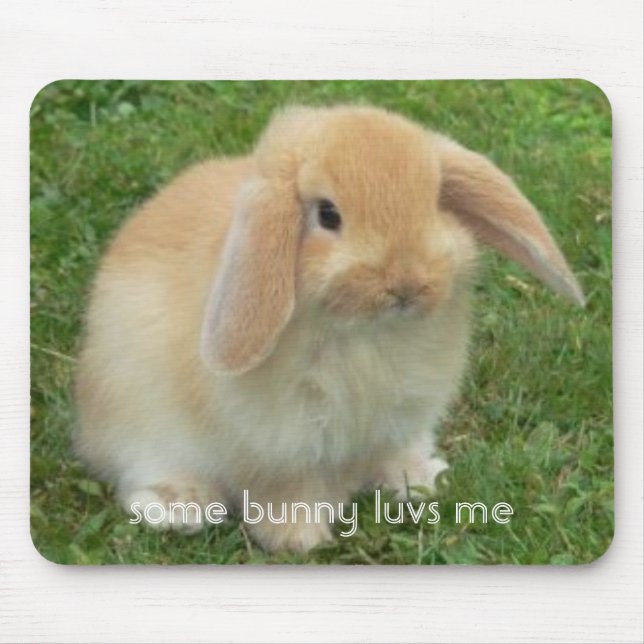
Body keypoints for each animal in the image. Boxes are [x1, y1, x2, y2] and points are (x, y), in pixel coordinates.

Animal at [74, 105, 584, 552]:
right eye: (328, 215)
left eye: (436, 201)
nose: (406, 284)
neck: (366, 333)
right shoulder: (281, 444)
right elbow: (287, 492)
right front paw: (300, 541)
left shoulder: (399, 420)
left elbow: (391, 452)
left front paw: (418, 483)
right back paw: (179, 507)